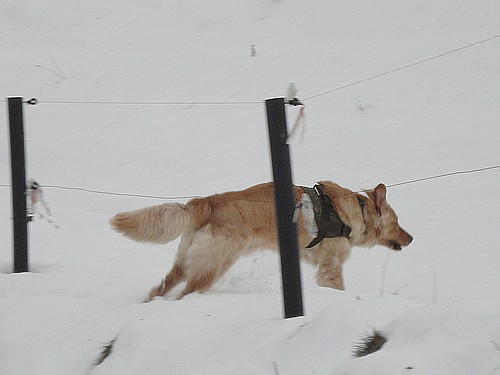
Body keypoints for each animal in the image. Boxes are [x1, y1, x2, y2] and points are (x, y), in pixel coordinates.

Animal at [109, 181, 410, 302]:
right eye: (396, 223)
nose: (412, 237)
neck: (355, 209)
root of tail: (206, 202)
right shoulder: (331, 264)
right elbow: (337, 285)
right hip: (213, 265)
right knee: (186, 292)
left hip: (186, 262)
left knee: (160, 288)